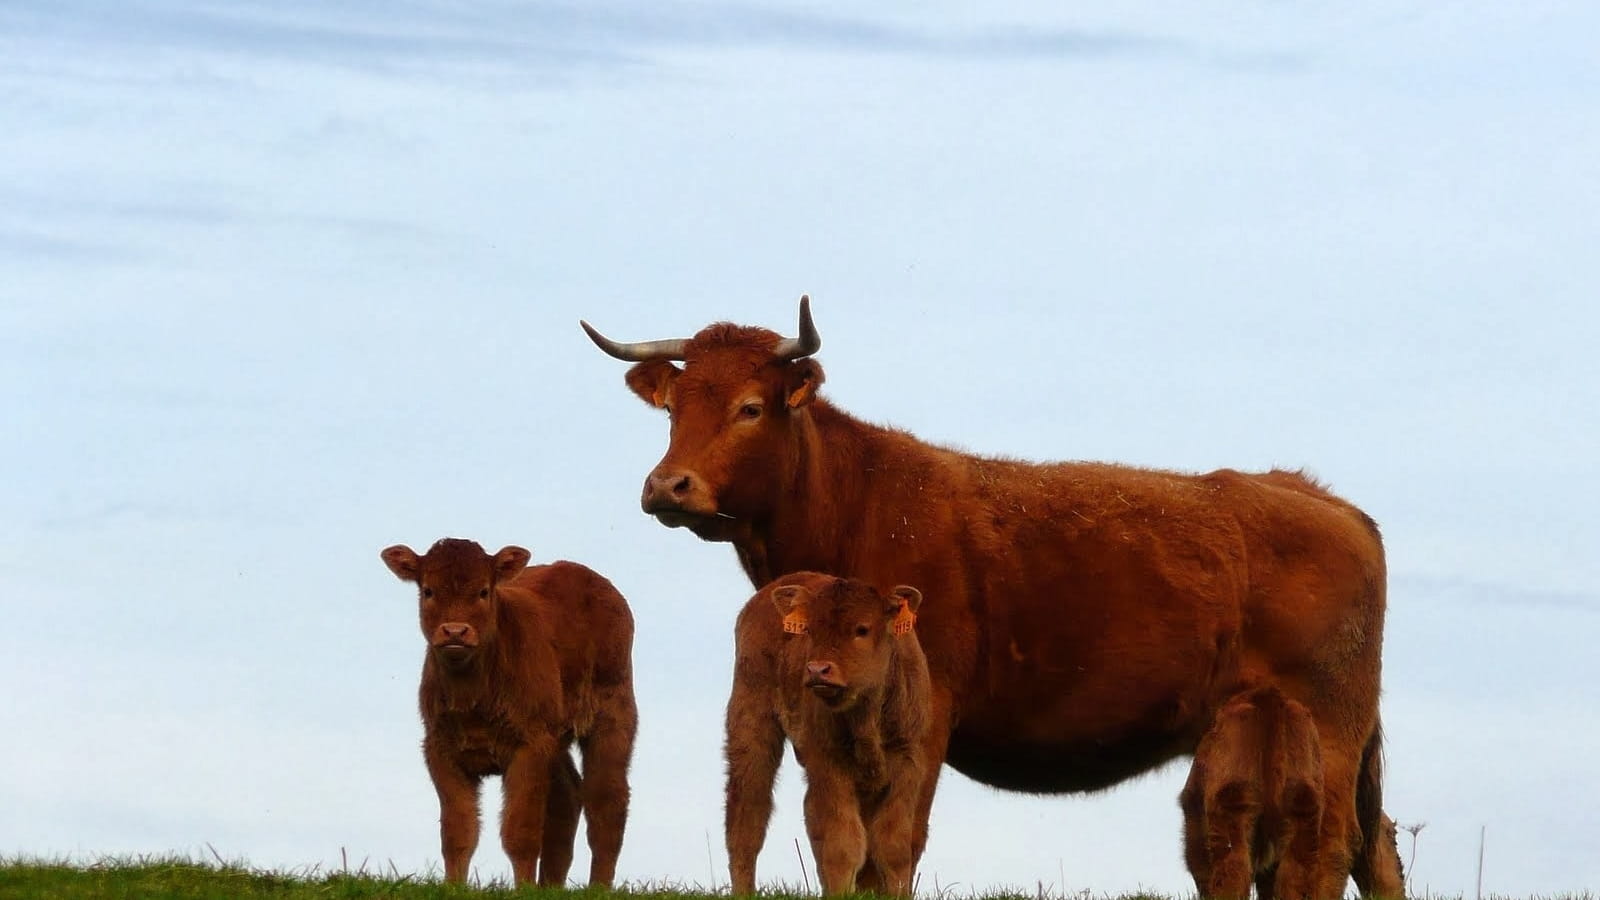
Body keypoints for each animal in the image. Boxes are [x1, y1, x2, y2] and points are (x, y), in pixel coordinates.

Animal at [726, 570, 934, 890]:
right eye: (810, 630)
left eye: (862, 629)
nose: (818, 670)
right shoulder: (829, 763)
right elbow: (843, 844)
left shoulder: (908, 762)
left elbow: (894, 848)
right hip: (751, 727)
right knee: (747, 817)